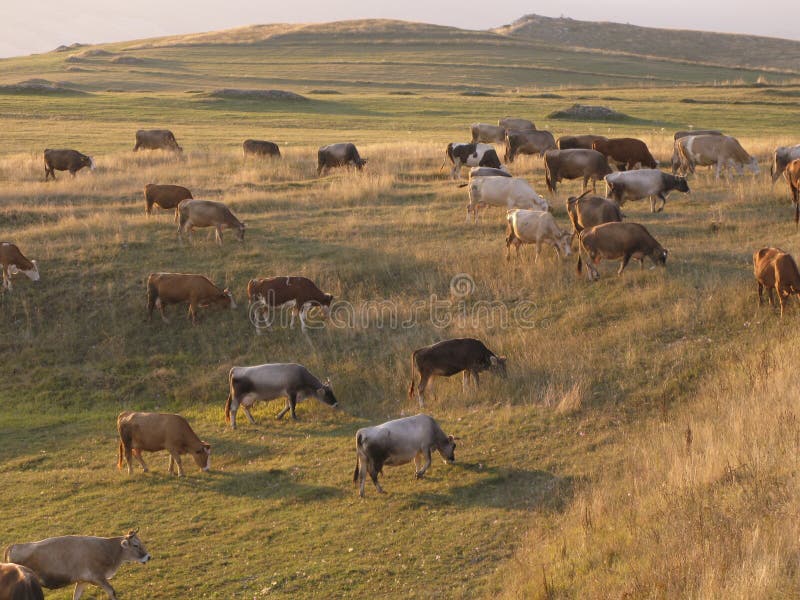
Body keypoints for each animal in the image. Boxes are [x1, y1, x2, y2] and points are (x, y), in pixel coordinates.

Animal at [4, 530, 150, 600]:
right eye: (136, 545)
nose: (149, 557)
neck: (106, 549)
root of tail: (14, 545)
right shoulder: (98, 578)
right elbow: (112, 592)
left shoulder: (82, 581)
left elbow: (76, 596)